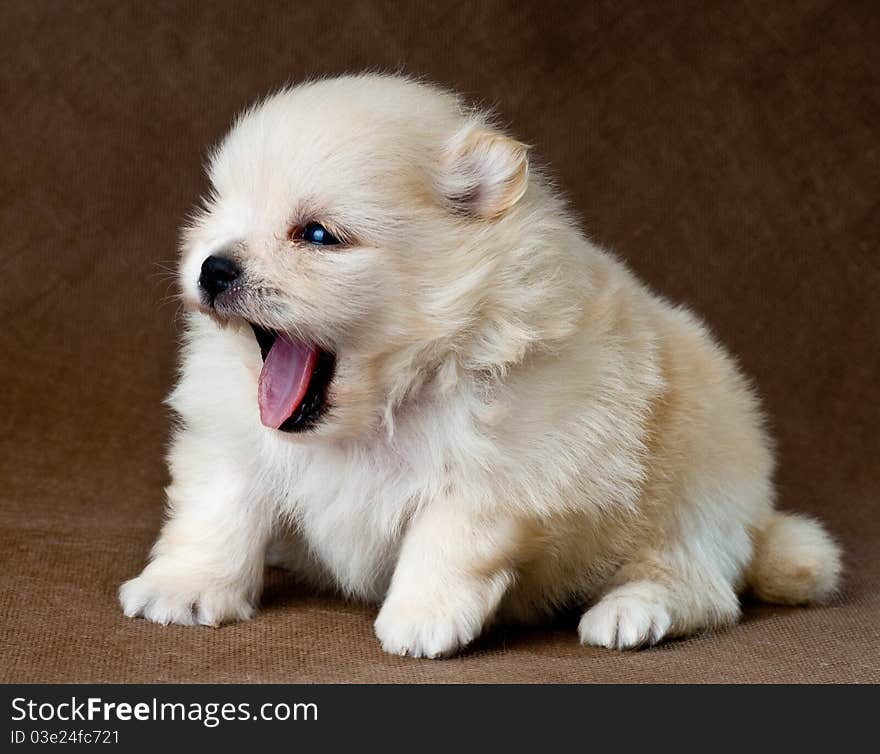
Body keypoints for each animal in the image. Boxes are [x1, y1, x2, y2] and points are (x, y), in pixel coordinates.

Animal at [120, 73, 844, 656]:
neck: (374, 413)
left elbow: (445, 539)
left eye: (318, 235)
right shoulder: (231, 440)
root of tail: (756, 520)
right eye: (217, 212)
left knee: (697, 584)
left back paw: (632, 612)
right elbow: (218, 514)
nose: (214, 269)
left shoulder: (502, 468)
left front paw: (419, 621)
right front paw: (183, 591)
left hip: (695, 493)